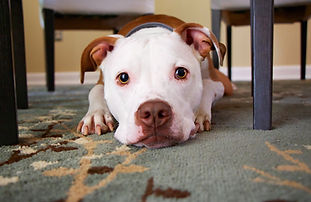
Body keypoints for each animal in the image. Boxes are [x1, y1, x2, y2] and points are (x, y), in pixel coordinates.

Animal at [77, 14, 234, 148]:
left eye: (181, 72)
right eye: (123, 77)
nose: (154, 111)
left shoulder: (218, 83)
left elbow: (207, 85)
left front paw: (200, 114)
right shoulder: (101, 82)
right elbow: (95, 90)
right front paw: (96, 115)